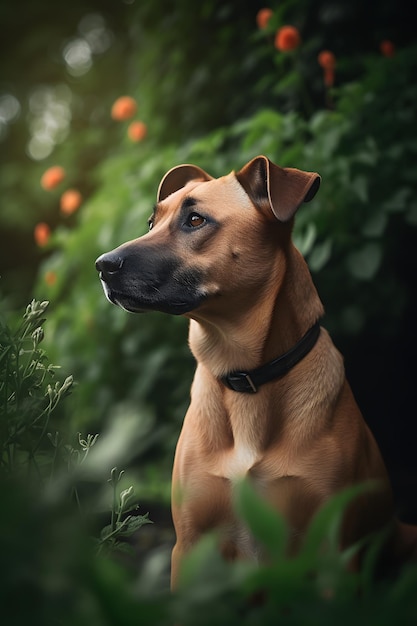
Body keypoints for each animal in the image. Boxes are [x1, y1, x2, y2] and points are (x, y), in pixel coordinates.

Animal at [95, 154, 416, 584]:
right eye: (151, 222)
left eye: (195, 220)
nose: (102, 265)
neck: (244, 377)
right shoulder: (190, 547)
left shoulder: (332, 551)